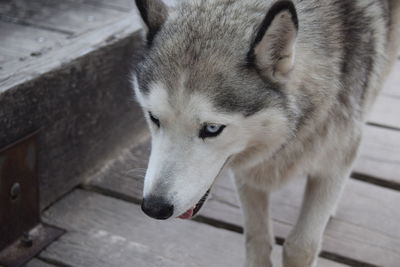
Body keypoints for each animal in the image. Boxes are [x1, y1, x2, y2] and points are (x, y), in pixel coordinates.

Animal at [132, 0, 400, 266]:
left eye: (212, 128)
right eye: (154, 118)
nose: (154, 207)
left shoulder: (336, 159)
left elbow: (299, 247)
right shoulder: (247, 171)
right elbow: (257, 238)